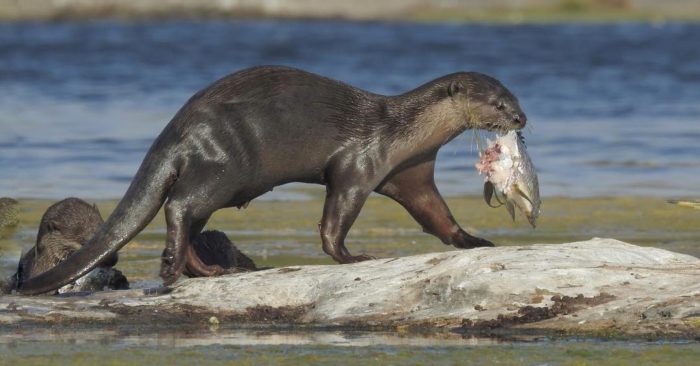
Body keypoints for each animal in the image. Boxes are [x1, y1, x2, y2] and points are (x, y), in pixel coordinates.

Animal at [19, 66, 528, 294]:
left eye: (515, 97)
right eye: (499, 104)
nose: (522, 118)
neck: (403, 133)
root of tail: (178, 127)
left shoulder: (411, 173)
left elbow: (438, 217)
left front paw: (476, 240)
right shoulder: (360, 164)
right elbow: (335, 217)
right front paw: (351, 256)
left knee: (190, 218)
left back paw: (206, 271)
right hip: (224, 165)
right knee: (180, 205)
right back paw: (172, 267)